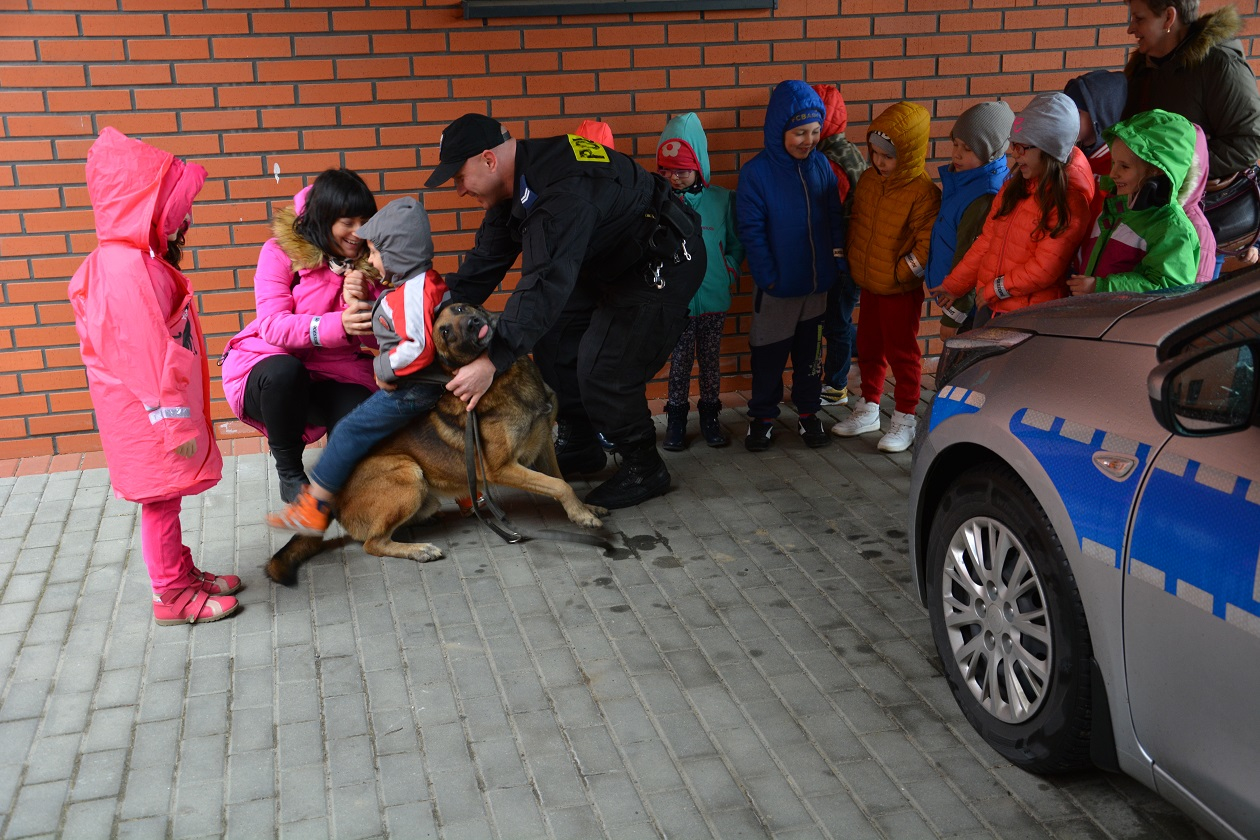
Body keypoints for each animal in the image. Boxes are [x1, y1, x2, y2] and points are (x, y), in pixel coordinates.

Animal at [263, 302, 607, 584]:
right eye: (445, 332)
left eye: (459, 309)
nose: (472, 323)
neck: (502, 376)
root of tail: (333, 501)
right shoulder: (502, 468)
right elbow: (558, 485)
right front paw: (581, 516)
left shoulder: (544, 445)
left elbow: (561, 480)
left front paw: (584, 507)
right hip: (406, 471)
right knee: (373, 543)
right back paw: (418, 549)